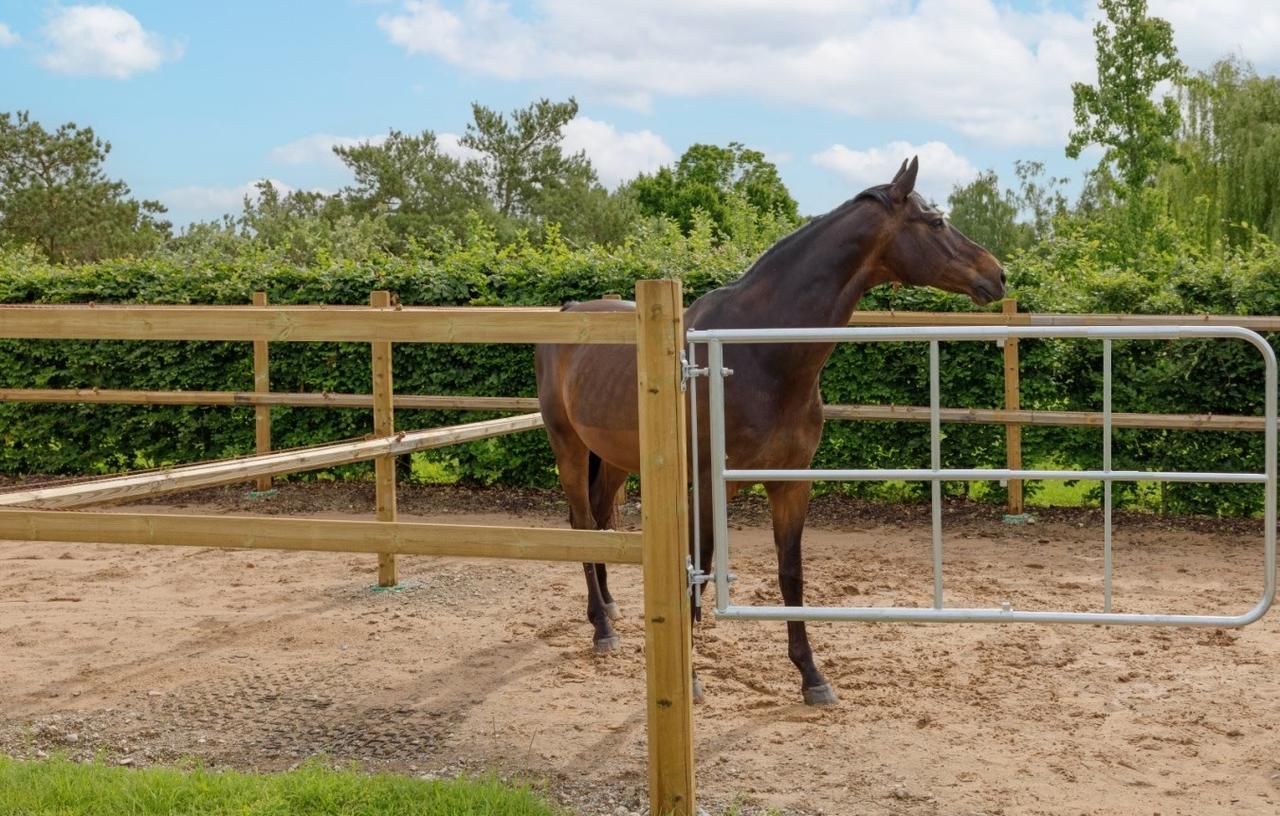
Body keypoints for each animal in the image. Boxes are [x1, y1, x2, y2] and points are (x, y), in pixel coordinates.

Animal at [534, 157, 1005, 705]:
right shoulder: (706, 487)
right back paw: (601, 628)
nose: (998, 274)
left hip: (614, 458)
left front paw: (812, 676)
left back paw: (610, 606)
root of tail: (567, 313)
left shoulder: (790, 481)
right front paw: (690, 678)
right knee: (582, 521)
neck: (758, 354)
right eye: (935, 221)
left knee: (602, 520)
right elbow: (698, 571)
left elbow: (791, 574)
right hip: (568, 447)